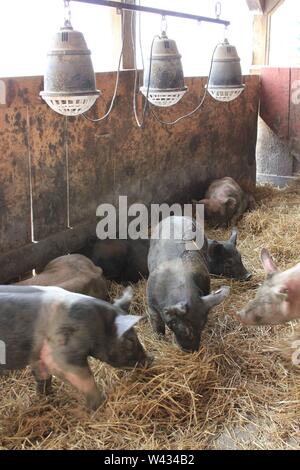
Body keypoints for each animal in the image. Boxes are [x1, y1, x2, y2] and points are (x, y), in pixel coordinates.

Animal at [0, 284, 150, 410]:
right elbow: (84, 379)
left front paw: (47, 399)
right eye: (131, 340)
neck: (94, 325)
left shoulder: (38, 353)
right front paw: (98, 407)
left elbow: (43, 376)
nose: (151, 359)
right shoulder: (60, 353)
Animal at [147, 215, 230, 350]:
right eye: (187, 329)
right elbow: (157, 325)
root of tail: (177, 216)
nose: (192, 350)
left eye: (203, 325)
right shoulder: (150, 304)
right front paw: (159, 340)